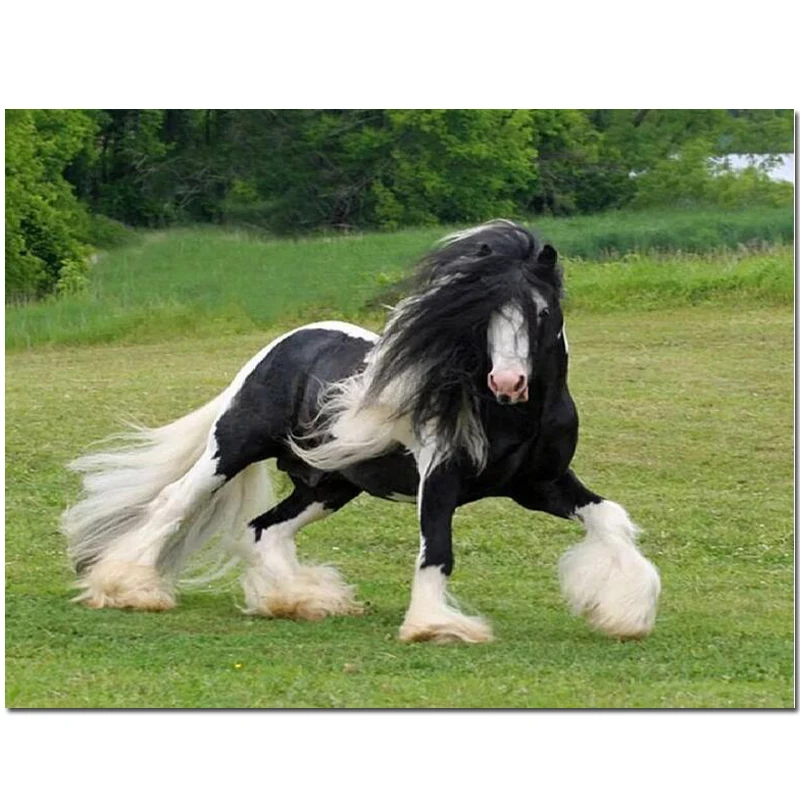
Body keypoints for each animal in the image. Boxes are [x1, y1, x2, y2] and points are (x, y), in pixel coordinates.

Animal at [61, 219, 661, 644]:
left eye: (539, 311)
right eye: (480, 316)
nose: (508, 382)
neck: (515, 417)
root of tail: (284, 344)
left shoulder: (542, 485)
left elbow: (611, 518)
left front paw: (626, 612)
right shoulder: (441, 481)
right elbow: (437, 550)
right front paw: (434, 628)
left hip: (329, 484)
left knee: (264, 529)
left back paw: (300, 600)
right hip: (232, 447)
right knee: (173, 504)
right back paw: (129, 588)